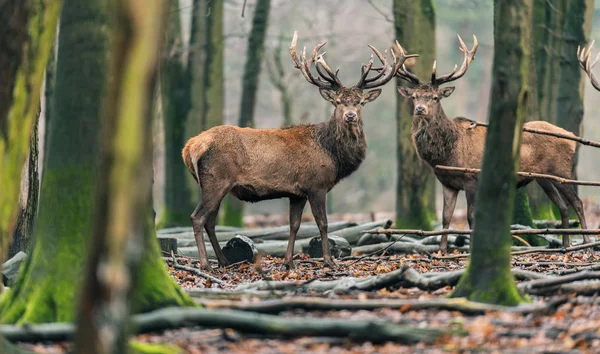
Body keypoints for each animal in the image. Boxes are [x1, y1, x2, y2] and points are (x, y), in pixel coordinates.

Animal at [182, 31, 418, 270]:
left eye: (360, 102)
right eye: (338, 102)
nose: (350, 116)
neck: (333, 155)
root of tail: (190, 147)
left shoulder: (297, 193)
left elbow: (294, 225)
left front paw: (288, 262)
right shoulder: (317, 185)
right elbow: (323, 223)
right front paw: (329, 261)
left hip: (213, 184)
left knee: (210, 221)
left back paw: (223, 261)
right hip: (216, 179)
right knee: (197, 217)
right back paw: (205, 264)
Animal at [396, 34, 588, 252]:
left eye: (435, 98)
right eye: (414, 96)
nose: (419, 109)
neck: (446, 154)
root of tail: (571, 137)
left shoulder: (472, 179)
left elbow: (471, 217)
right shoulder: (447, 183)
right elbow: (446, 218)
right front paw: (442, 251)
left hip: (561, 171)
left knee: (578, 203)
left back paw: (586, 242)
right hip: (543, 178)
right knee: (563, 206)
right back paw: (565, 245)